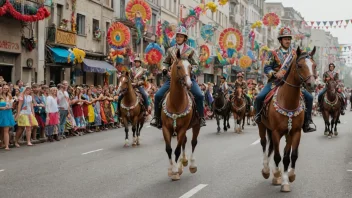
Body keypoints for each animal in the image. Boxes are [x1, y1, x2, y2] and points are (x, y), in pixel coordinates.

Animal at [161, 49, 199, 181]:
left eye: (190, 67)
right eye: (178, 67)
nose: (189, 83)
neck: (176, 103)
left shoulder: (182, 128)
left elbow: (177, 150)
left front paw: (175, 171)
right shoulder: (166, 128)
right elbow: (168, 149)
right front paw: (172, 169)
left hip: (196, 125)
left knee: (193, 142)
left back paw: (192, 165)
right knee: (184, 141)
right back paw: (183, 162)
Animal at [258, 46, 318, 192]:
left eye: (314, 65)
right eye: (300, 65)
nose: (312, 85)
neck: (288, 102)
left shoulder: (295, 132)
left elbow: (290, 156)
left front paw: (288, 178)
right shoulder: (276, 132)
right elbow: (278, 156)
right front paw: (278, 175)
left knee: (274, 148)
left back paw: (277, 174)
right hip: (262, 126)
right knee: (264, 144)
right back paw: (267, 170)